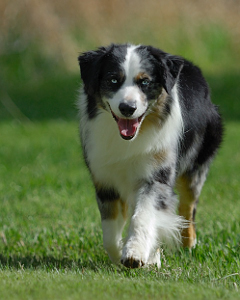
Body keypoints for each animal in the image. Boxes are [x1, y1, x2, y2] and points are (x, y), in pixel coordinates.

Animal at [77, 43, 223, 268]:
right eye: (113, 80)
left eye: (144, 82)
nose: (127, 108)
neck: (131, 139)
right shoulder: (105, 180)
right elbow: (109, 234)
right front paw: (120, 255)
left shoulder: (156, 175)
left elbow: (144, 216)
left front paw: (135, 254)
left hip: (196, 164)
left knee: (188, 206)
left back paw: (187, 244)